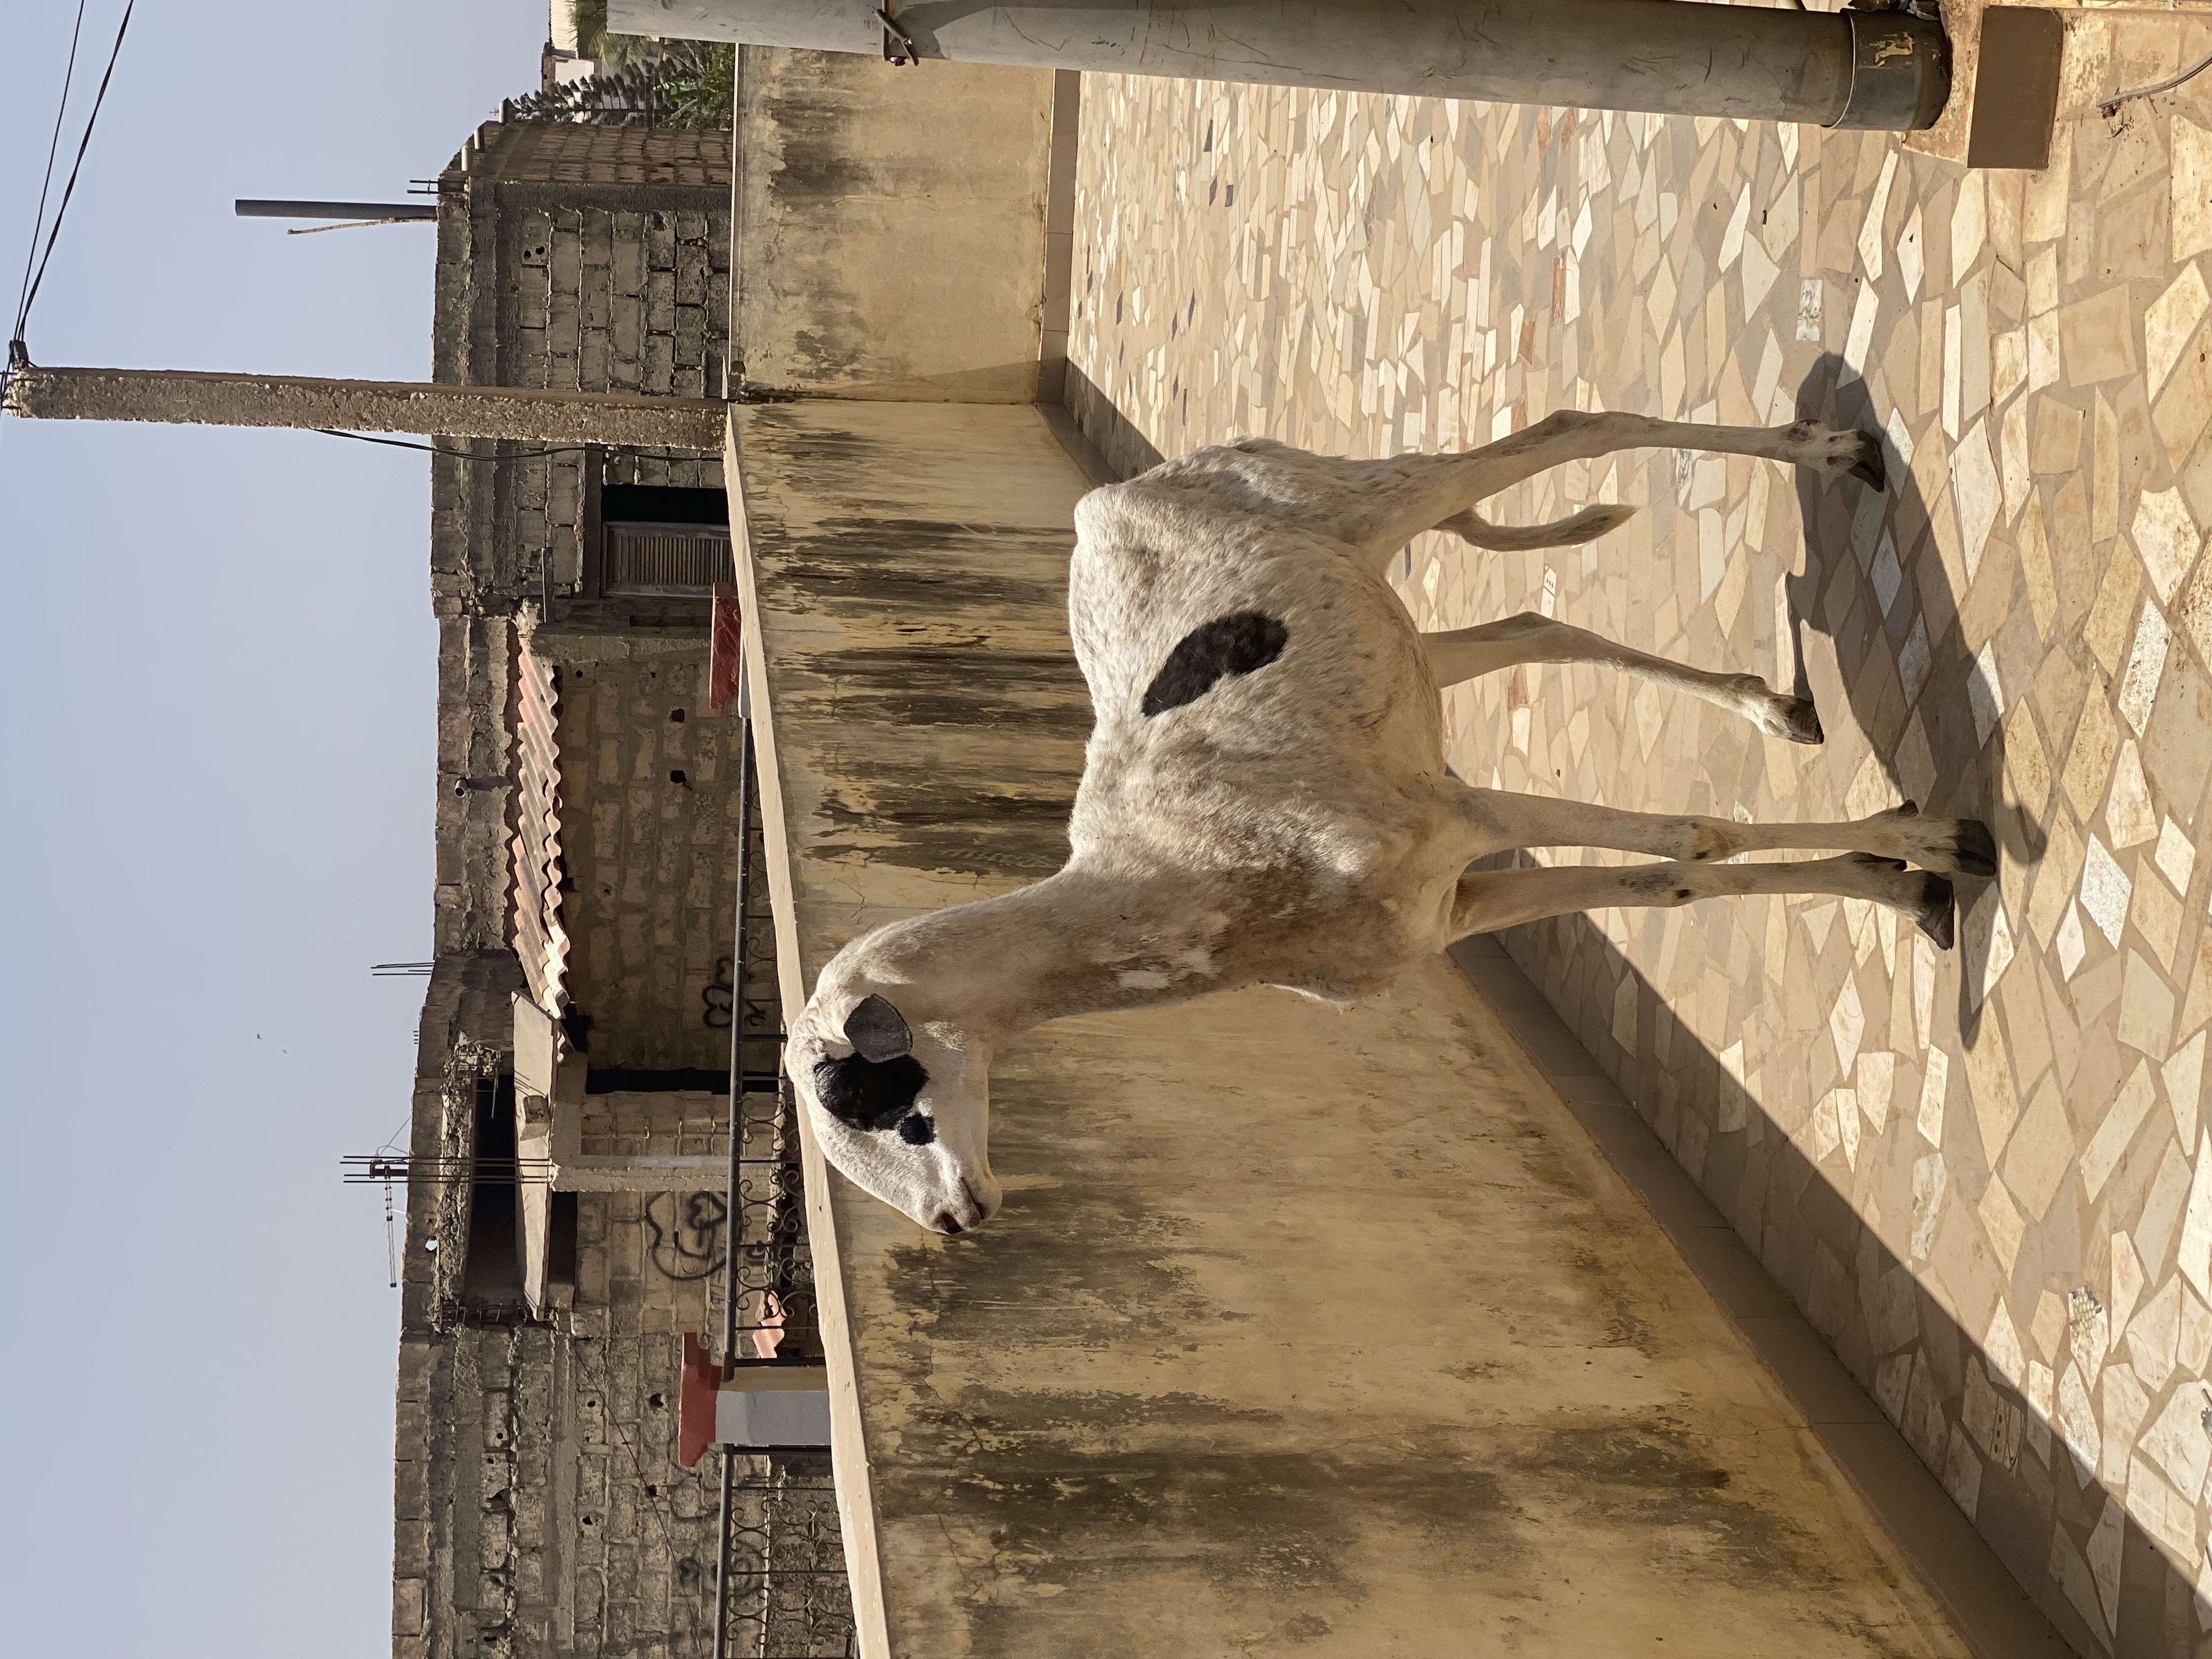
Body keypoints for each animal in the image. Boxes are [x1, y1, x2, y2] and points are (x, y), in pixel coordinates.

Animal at [786, 412, 1996, 1235]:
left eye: (882, 1104)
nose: (955, 1221)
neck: (1185, 887)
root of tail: (1119, 493)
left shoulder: (1457, 810)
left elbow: (1695, 840)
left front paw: (1943, 843)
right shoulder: (1456, 899)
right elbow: (1679, 879)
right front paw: (1907, 882)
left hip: (1372, 503)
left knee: (1572, 424)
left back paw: (1843, 453)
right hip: (1400, 620)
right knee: (1533, 622)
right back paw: (1775, 704)